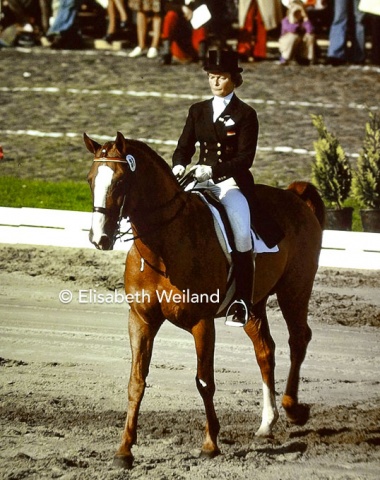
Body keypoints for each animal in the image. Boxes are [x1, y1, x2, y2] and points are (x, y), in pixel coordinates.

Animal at [84, 131, 326, 468]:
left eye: (120, 181)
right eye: (90, 180)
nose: (100, 239)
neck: (164, 246)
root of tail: (295, 197)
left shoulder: (202, 323)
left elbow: (204, 381)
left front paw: (210, 445)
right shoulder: (141, 319)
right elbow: (136, 381)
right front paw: (124, 450)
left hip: (295, 290)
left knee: (298, 339)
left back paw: (293, 409)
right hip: (252, 306)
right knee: (265, 350)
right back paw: (267, 422)